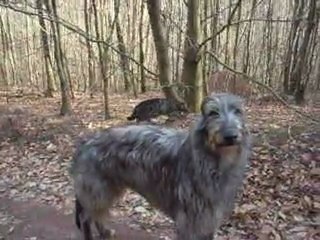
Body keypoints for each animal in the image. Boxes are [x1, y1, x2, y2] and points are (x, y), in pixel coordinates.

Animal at [69, 93, 250, 240]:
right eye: (212, 112)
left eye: (238, 111)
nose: (230, 136)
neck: (214, 162)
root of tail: (84, 144)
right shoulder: (189, 220)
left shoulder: (208, 218)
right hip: (97, 190)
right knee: (87, 217)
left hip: (107, 189)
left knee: (97, 214)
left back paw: (105, 232)